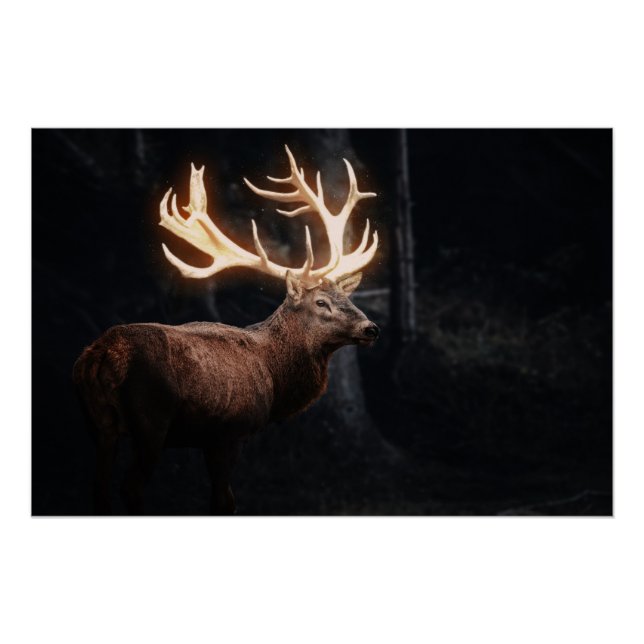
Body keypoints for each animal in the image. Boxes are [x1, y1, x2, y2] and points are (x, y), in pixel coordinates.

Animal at [73, 145, 380, 515]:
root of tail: (99, 355)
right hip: (151, 418)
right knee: (130, 487)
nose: (370, 328)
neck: (274, 377)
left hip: (97, 423)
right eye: (321, 302)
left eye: (346, 297)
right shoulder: (230, 431)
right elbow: (225, 501)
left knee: (99, 490)